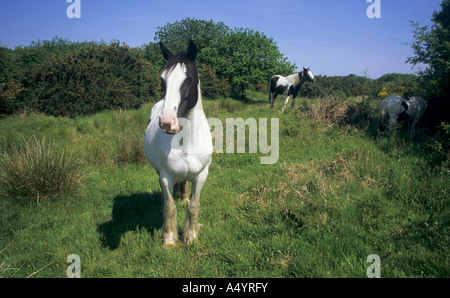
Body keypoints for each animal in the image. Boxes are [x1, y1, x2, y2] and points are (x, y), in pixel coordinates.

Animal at [144, 41, 214, 247]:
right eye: (163, 80)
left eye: (188, 79)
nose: (167, 122)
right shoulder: (166, 176)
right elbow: (170, 206)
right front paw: (169, 239)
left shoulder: (201, 176)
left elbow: (194, 205)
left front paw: (191, 235)